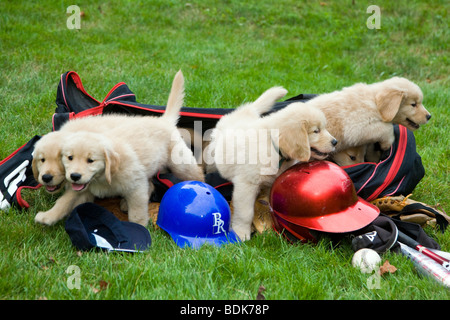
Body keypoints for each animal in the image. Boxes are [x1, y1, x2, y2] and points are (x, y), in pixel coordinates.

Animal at [211, 86, 338, 239]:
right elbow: (245, 213)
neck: (275, 148)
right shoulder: (246, 184)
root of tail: (244, 112)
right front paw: (241, 233)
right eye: (316, 131)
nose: (335, 142)